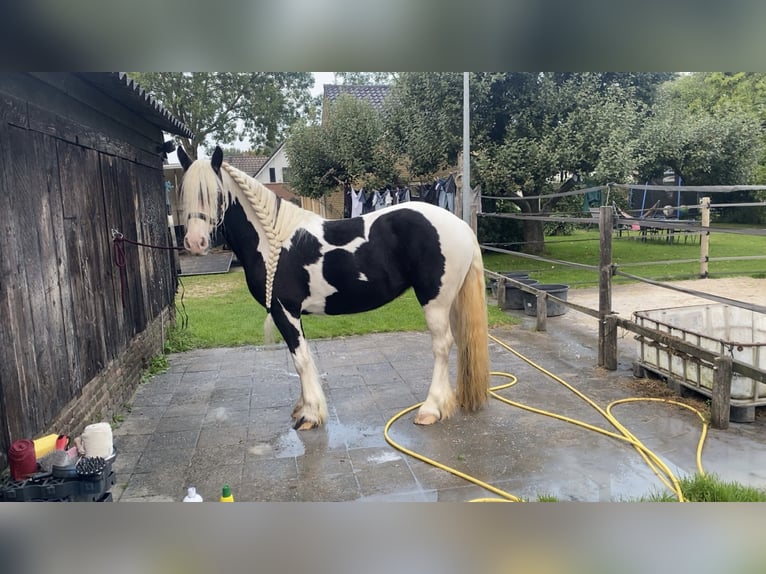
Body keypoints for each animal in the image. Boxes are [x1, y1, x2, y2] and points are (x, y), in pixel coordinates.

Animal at [177, 145, 490, 430]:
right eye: (184, 193)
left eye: (215, 194)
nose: (195, 242)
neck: (272, 242)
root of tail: (461, 226)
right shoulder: (289, 313)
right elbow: (301, 357)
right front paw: (303, 407)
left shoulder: (284, 310)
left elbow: (301, 359)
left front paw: (309, 416)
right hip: (450, 301)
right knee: (459, 340)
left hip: (435, 301)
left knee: (442, 345)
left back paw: (431, 409)